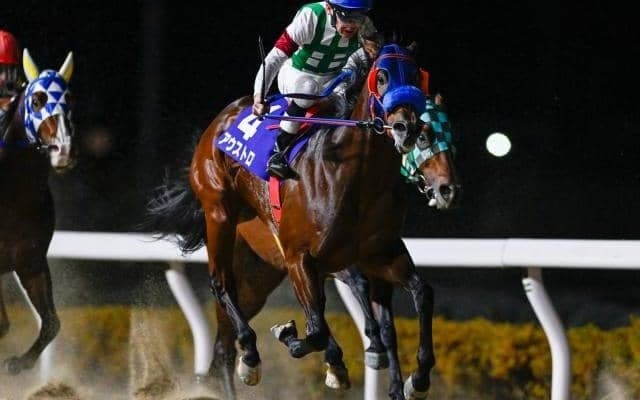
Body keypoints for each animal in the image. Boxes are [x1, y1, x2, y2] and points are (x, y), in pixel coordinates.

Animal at [147, 42, 459, 399]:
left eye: (417, 76)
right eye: (381, 77)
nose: (448, 189)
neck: (356, 176)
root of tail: (220, 121)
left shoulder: (379, 253)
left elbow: (420, 294)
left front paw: (414, 379)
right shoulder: (303, 257)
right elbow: (319, 327)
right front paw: (294, 337)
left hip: (259, 273)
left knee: (224, 345)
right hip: (219, 214)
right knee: (221, 285)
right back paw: (251, 354)